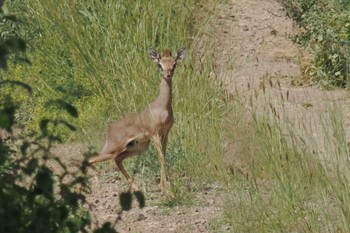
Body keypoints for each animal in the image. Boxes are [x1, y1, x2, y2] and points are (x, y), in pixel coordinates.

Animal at [80, 47, 186, 195]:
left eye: (174, 63)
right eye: (159, 65)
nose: (168, 74)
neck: (162, 108)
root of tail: (109, 129)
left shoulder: (165, 134)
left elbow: (163, 157)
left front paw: (164, 187)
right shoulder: (154, 135)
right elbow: (161, 158)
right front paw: (167, 190)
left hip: (137, 148)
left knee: (117, 160)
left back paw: (137, 188)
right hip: (112, 149)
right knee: (91, 159)